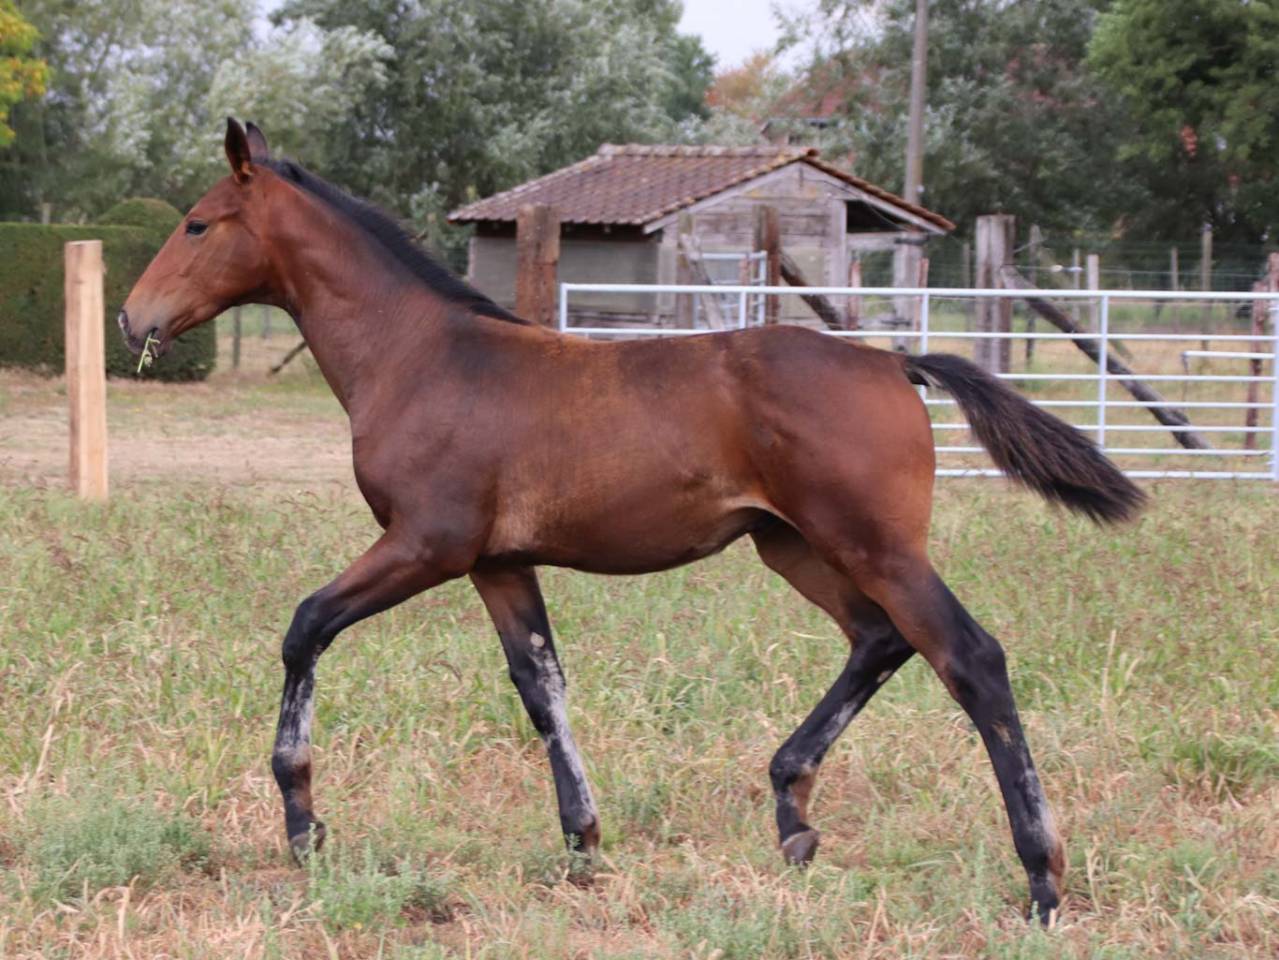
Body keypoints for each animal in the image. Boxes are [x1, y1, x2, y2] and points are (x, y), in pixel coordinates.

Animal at [119, 119, 1144, 923]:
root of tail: (892, 361)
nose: (133, 319)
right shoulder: (498, 562)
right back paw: (793, 813)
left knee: (969, 658)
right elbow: (541, 687)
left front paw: (304, 825)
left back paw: (1040, 878)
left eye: (197, 223)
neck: (420, 354)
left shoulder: (425, 544)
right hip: (793, 546)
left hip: (873, 545)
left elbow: (305, 627)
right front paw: (582, 842)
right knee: (878, 640)